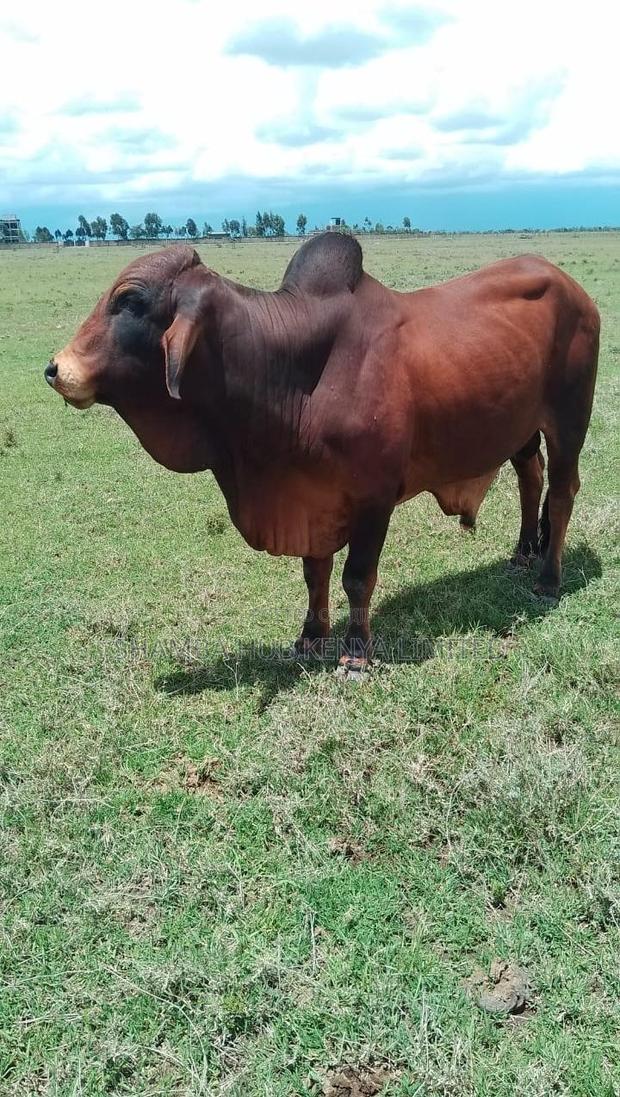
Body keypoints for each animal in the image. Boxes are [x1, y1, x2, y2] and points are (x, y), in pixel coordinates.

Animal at [45, 233, 599, 674]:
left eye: (130, 300)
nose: (55, 368)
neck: (290, 372)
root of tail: (570, 285)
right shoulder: (311, 494)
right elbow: (315, 573)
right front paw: (311, 636)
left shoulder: (375, 499)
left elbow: (357, 577)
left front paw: (355, 652)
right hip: (519, 425)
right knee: (530, 474)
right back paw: (522, 553)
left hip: (570, 420)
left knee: (562, 492)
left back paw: (548, 577)